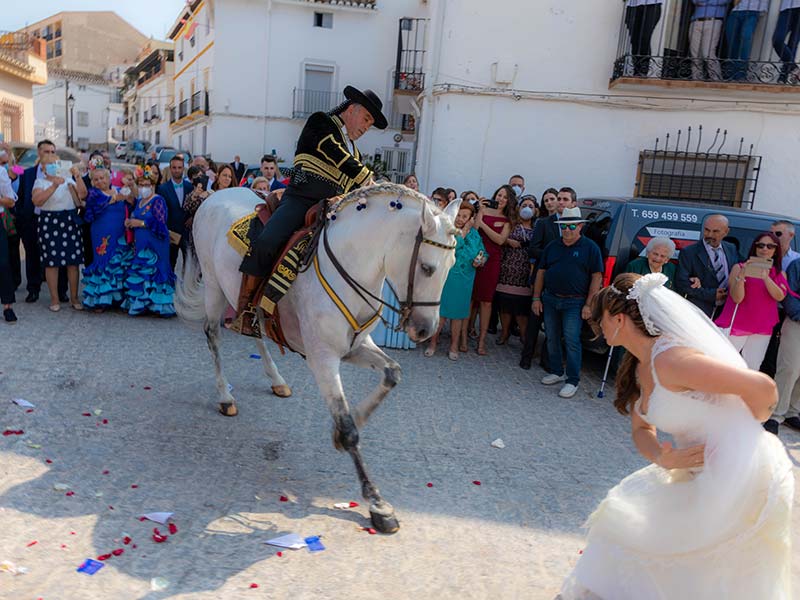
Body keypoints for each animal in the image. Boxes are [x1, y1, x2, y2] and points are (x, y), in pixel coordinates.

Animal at [177, 183, 460, 528]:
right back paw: (225, 397)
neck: (351, 269)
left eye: (451, 266)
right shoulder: (322, 358)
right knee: (213, 336)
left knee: (255, 333)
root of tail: (216, 194)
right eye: (426, 268)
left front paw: (353, 421)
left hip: (247, 304)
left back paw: (277, 380)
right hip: (214, 289)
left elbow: (392, 374)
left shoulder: (356, 347)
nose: (424, 329)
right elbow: (349, 429)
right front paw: (377, 503)